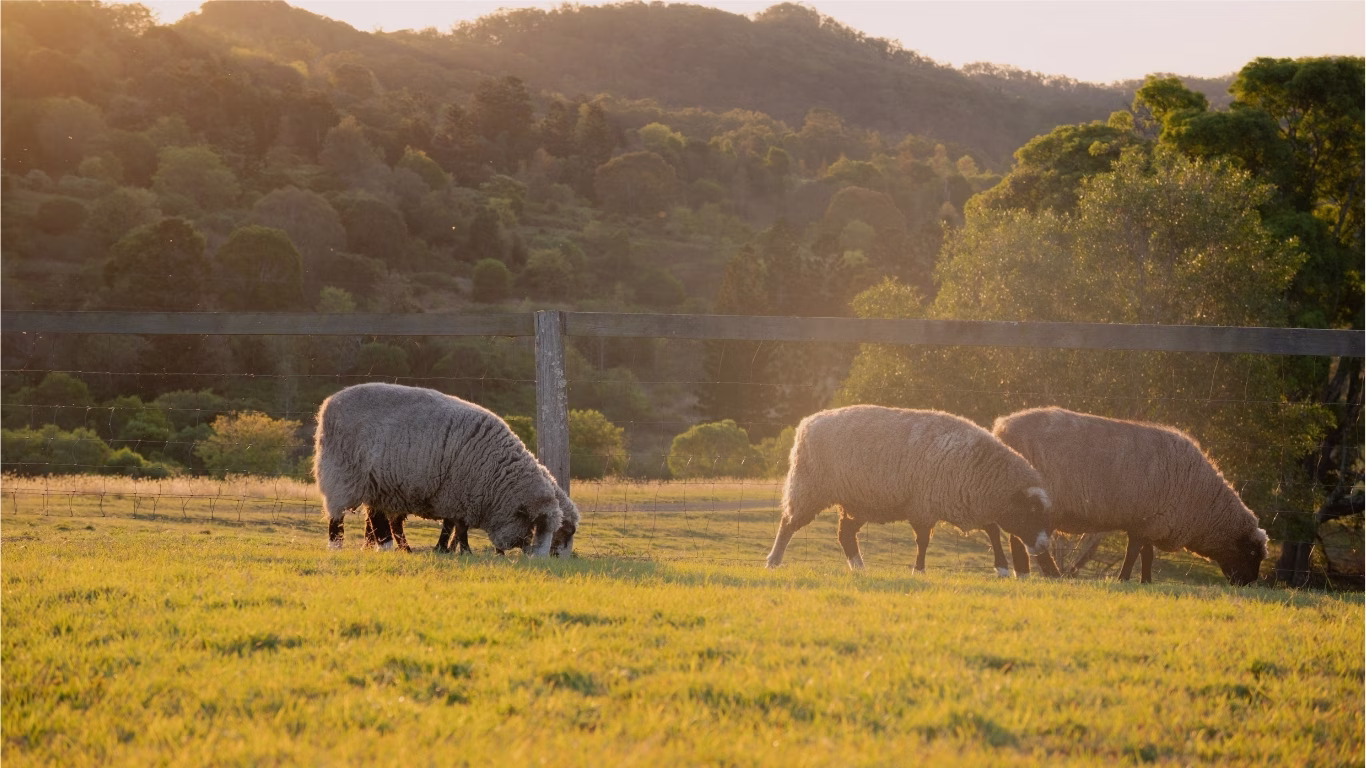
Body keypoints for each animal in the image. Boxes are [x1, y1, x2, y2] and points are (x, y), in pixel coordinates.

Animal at [315, 382, 570, 556]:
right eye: (536, 526)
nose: (539, 559)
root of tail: (329, 403)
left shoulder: (459, 497)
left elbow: (455, 526)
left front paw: (451, 549)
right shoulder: (457, 492)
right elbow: (457, 527)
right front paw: (459, 550)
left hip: (379, 483)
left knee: (380, 518)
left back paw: (395, 548)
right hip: (343, 475)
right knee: (339, 517)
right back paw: (341, 546)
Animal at [765, 405, 1053, 574]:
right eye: (1032, 512)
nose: (1043, 546)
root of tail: (808, 421)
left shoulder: (968, 503)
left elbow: (992, 530)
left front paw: (1002, 568)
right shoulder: (924, 506)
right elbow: (923, 541)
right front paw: (919, 570)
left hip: (860, 501)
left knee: (845, 534)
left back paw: (859, 567)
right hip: (808, 488)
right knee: (788, 524)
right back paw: (773, 560)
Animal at [990, 407, 1268, 585]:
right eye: (1252, 553)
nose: (1249, 584)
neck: (1203, 502)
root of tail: (1001, 427)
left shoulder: (1149, 521)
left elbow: (1146, 554)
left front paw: (1146, 581)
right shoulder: (1148, 522)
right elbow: (1134, 552)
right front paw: (1124, 578)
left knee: (1018, 538)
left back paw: (1026, 572)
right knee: (1024, 539)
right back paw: (1050, 574)